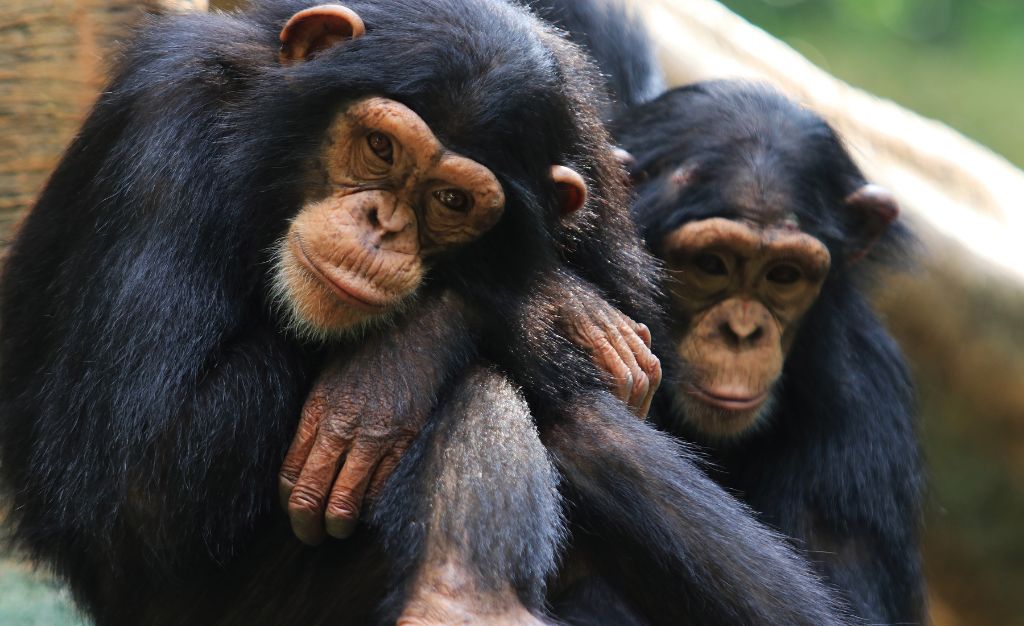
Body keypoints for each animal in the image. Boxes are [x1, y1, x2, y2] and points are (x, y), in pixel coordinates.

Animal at [0, 1, 847, 626]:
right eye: (379, 149)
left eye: (450, 200)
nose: (382, 224)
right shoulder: (168, 125)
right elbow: (139, 465)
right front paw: (543, 309)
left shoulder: (604, 196)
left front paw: (391, 372)